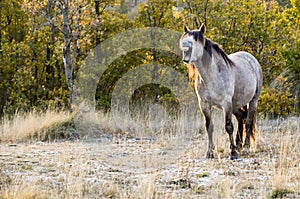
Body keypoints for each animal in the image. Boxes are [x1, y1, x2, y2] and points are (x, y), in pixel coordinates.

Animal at [179, 24, 262, 160]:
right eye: (184, 38)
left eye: (196, 39)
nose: (185, 45)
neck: (212, 76)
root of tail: (251, 59)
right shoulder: (204, 105)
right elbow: (209, 127)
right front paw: (210, 153)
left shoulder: (226, 104)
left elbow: (228, 126)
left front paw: (233, 153)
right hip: (235, 104)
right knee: (241, 118)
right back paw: (239, 144)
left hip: (252, 101)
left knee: (249, 121)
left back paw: (246, 147)